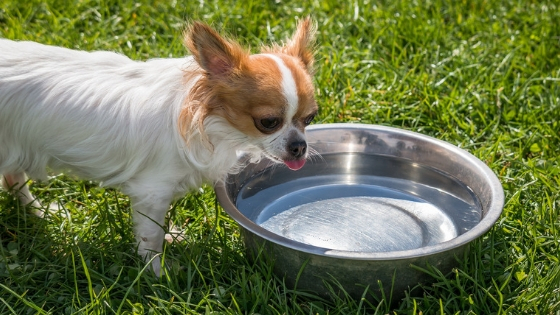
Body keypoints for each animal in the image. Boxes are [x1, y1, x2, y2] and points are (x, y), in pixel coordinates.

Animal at [0, 17, 318, 276]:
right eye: (268, 122)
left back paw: (41, 212)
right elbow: (149, 233)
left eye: (310, 118)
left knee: (14, 178)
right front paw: (157, 271)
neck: (210, 121)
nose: (299, 146)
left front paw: (168, 242)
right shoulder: (153, 191)